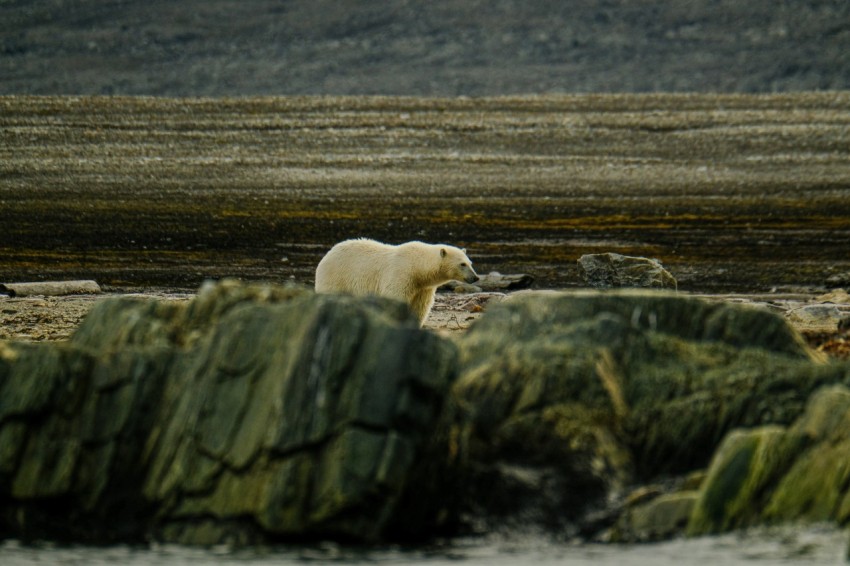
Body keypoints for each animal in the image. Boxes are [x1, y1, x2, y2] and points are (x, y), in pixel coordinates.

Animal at [314, 240, 480, 328]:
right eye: (462, 264)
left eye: (470, 263)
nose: (475, 277)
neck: (417, 266)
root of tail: (328, 254)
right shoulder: (401, 274)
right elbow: (395, 298)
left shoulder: (423, 287)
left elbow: (420, 306)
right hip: (336, 277)